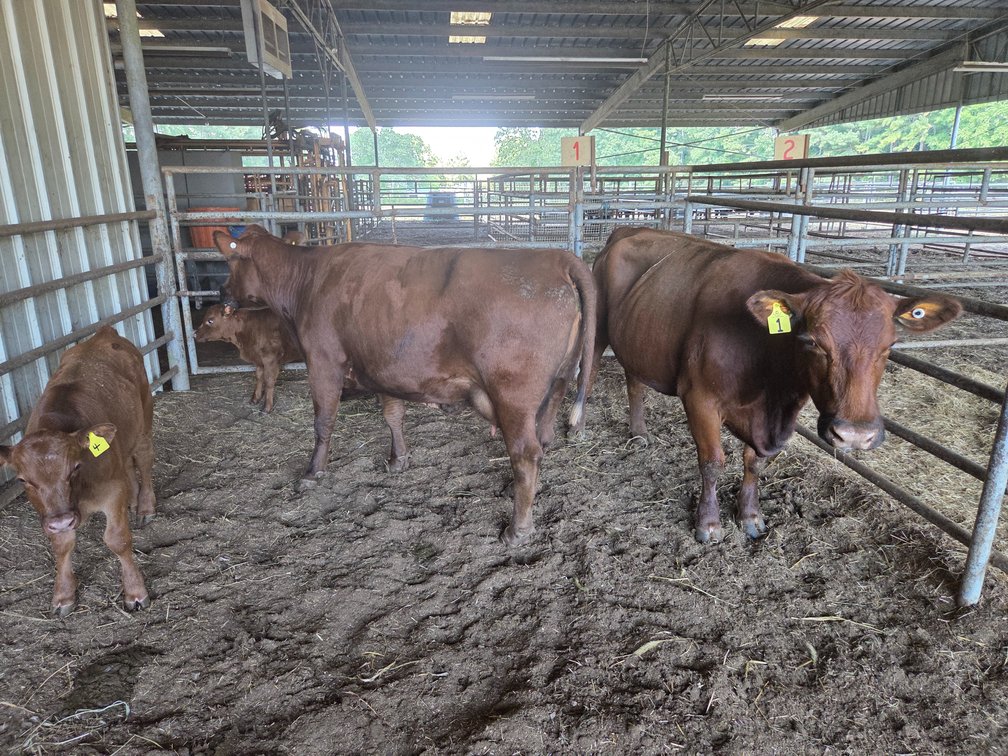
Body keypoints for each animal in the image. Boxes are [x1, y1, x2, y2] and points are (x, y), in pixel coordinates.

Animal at [0, 326, 156, 615]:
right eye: (23, 479)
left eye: (74, 467)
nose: (63, 521)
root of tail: (104, 333)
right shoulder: (52, 514)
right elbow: (62, 546)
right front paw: (63, 595)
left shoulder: (112, 491)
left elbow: (117, 540)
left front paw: (135, 592)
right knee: (128, 464)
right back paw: (133, 501)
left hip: (144, 419)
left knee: (143, 460)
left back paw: (145, 507)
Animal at [214, 226, 595, 545]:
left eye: (230, 260)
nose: (222, 291)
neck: (307, 279)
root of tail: (556, 257)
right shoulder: (382, 367)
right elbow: (392, 415)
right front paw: (398, 459)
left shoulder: (322, 361)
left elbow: (323, 421)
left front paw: (313, 471)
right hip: (558, 381)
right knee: (542, 439)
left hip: (512, 394)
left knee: (525, 453)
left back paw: (518, 529)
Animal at [590, 227, 961, 544]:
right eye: (812, 341)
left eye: (891, 346)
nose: (855, 435)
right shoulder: (699, 398)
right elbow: (712, 461)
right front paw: (708, 524)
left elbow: (754, 463)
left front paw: (750, 516)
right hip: (598, 330)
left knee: (635, 384)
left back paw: (639, 432)